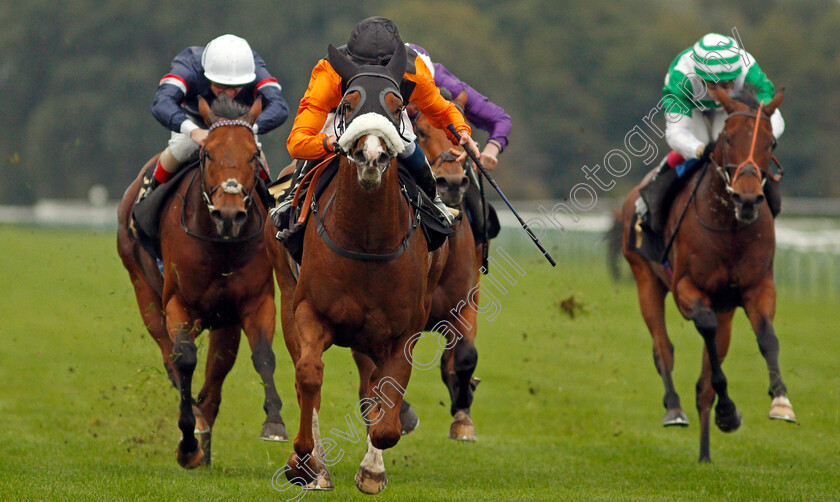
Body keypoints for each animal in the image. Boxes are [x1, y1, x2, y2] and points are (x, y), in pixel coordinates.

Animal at [116, 97, 288, 466]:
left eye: (253, 155)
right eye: (207, 153)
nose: (229, 214)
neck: (219, 243)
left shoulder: (255, 301)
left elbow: (263, 355)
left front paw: (274, 422)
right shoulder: (177, 303)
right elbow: (183, 360)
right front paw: (187, 436)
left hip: (225, 323)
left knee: (214, 379)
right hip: (144, 293)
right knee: (171, 359)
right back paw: (194, 433)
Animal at [264, 44, 450, 494]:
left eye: (396, 105)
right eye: (348, 103)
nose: (371, 154)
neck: (367, 241)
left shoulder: (403, 328)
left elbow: (385, 408)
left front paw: (372, 470)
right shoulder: (309, 311)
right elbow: (309, 376)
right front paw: (304, 463)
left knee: (371, 390)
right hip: (288, 293)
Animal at [624, 86, 796, 462]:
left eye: (771, 143)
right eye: (728, 138)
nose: (748, 199)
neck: (729, 227)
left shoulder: (758, 288)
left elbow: (768, 338)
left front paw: (780, 400)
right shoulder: (687, 289)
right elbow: (705, 335)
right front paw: (728, 410)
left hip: (725, 307)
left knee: (707, 365)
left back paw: (705, 452)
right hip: (645, 280)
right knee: (663, 347)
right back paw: (674, 408)